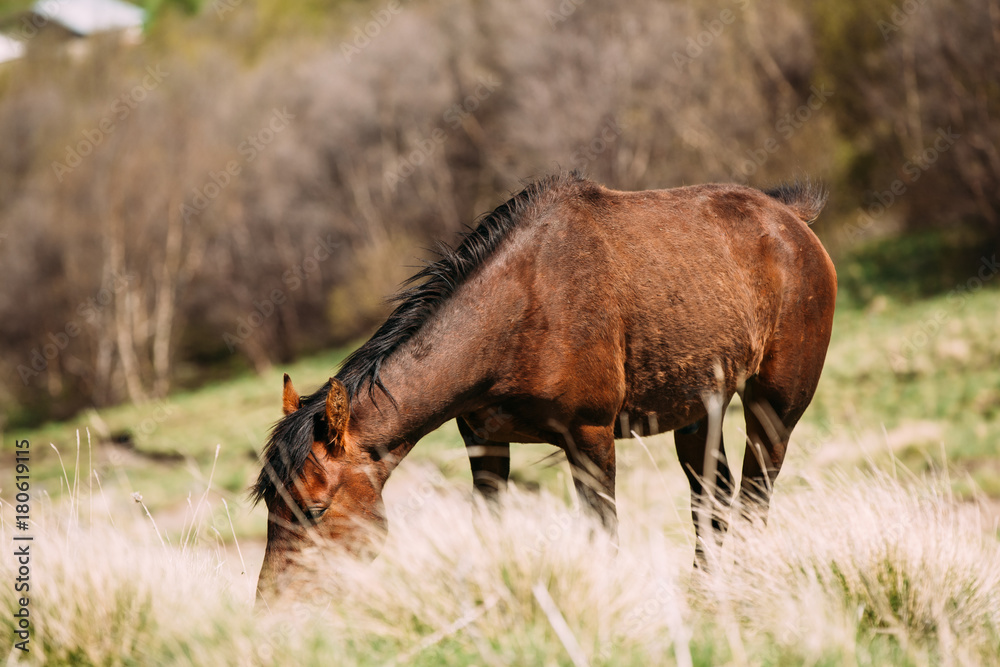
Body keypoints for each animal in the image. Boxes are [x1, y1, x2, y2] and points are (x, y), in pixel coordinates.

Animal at [251, 172, 837, 599]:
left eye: (314, 510)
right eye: (272, 506)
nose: (274, 607)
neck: (525, 304)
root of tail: (789, 218)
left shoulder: (591, 438)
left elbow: (603, 532)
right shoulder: (485, 443)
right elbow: (490, 528)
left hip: (775, 407)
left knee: (755, 496)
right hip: (699, 412)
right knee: (710, 502)